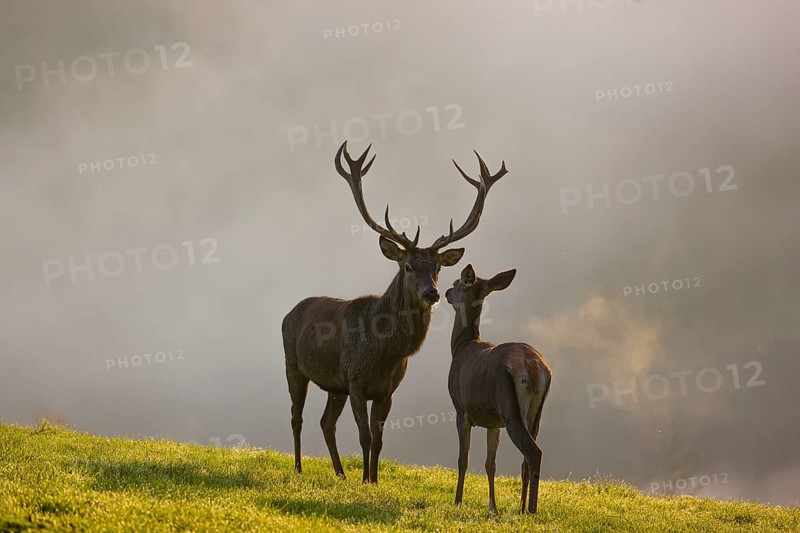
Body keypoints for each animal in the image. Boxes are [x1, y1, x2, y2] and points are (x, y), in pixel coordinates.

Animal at [282, 141, 508, 484]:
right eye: (409, 266)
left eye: (438, 267)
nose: (432, 293)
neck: (384, 353)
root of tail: (290, 312)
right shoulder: (356, 378)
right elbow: (364, 436)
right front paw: (365, 479)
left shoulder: (387, 390)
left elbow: (379, 439)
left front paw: (374, 479)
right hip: (293, 364)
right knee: (297, 417)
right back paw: (297, 467)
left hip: (334, 385)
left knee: (325, 422)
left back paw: (340, 473)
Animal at [444, 264, 552, 514]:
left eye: (456, 283)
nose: (445, 292)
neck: (461, 347)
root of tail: (532, 366)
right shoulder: (493, 422)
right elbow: (490, 464)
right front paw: (493, 507)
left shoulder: (461, 409)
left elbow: (463, 459)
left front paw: (457, 501)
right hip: (536, 413)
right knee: (526, 459)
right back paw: (522, 508)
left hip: (508, 406)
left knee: (533, 452)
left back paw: (532, 510)